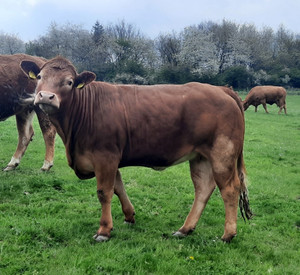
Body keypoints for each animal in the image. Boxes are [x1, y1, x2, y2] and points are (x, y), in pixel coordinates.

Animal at [19, 56, 252, 244]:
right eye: (39, 76)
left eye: (69, 82)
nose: (46, 96)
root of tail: (221, 89)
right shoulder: (110, 159)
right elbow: (118, 188)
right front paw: (129, 216)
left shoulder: (105, 156)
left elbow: (104, 192)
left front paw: (104, 231)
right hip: (200, 156)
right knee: (203, 188)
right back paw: (185, 229)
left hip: (222, 153)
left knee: (230, 189)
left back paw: (228, 234)